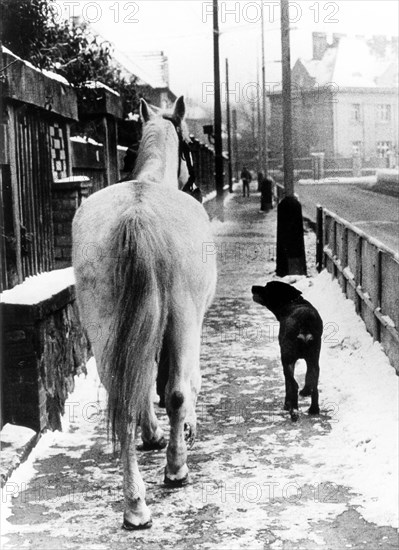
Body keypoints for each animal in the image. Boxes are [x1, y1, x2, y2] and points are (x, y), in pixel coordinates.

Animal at [71, 98, 216, 532]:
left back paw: (134, 503)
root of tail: (137, 215)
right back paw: (174, 471)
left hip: (103, 327)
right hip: (183, 319)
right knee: (178, 390)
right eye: (189, 144)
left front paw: (154, 433)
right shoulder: (190, 324)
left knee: (121, 395)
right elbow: (181, 385)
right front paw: (185, 431)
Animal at [253, 282, 324, 424]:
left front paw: (287, 405)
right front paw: (305, 392)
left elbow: (288, 384)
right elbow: (308, 379)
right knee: (315, 387)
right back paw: (314, 409)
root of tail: (305, 323)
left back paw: (294, 412)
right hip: (314, 360)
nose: (252, 287)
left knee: (294, 385)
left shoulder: (287, 360)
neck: (292, 301)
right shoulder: (310, 361)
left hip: (287, 359)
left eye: (267, 287)